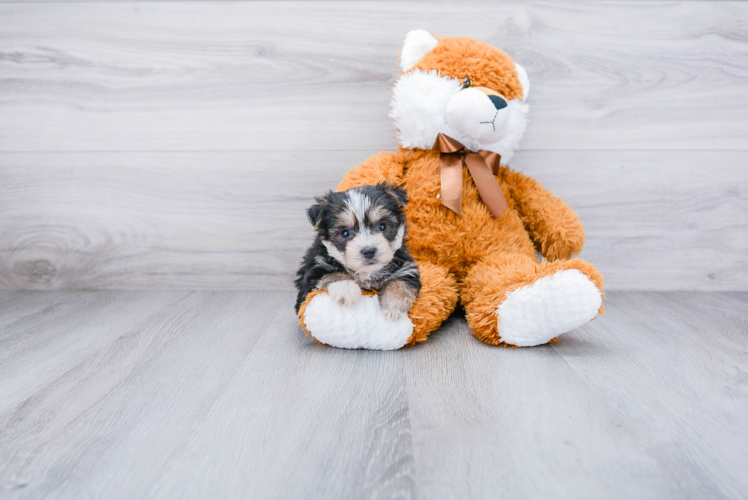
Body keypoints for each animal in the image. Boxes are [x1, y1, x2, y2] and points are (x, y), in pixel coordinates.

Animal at [294, 183, 420, 320]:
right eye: (345, 233)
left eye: (382, 226)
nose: (369, 251)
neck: (367, 273)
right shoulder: (315, 270)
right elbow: (333, 273)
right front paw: (347, 289)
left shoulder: (406, 266)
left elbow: (400, 281)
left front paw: (394, 305)